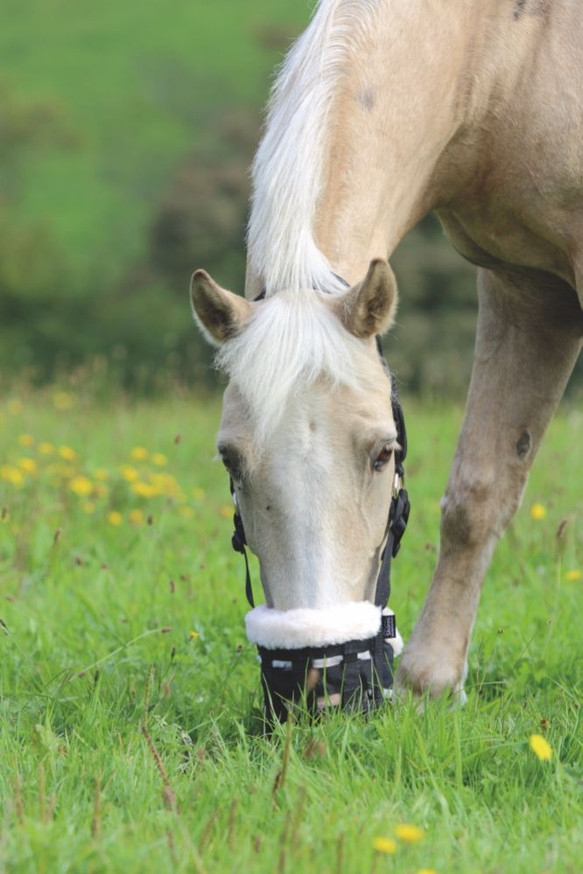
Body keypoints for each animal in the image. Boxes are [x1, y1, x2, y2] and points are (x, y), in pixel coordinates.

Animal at [189, 1, 580, 708]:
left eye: (383, 454)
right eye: (230, 459)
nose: (319, 685)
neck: (506, 51)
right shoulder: (527, 286)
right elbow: (479, 490)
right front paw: (431, 685)